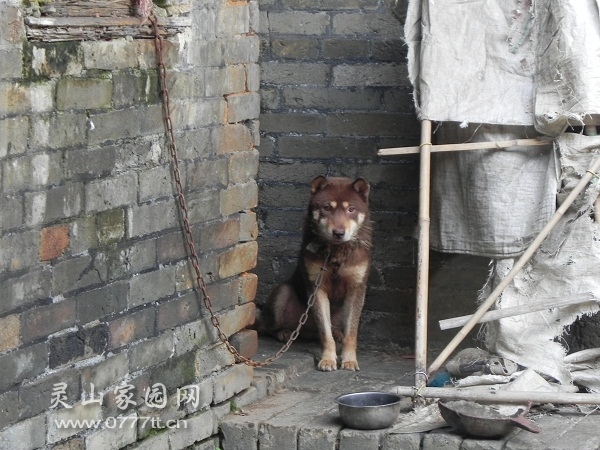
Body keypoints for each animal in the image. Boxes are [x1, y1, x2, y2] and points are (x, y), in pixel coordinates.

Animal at [258, 174, 370, 370]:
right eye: (327, 208)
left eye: (351, 209)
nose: (339, 233)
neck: (335, 252)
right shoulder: (316, 288)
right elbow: (325, 334)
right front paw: (328, 360)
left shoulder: (356, 288)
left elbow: (351, 333)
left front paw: (349, 360)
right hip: (283, 292)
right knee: (267, 327)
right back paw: (284, 333)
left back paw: (337, 333)